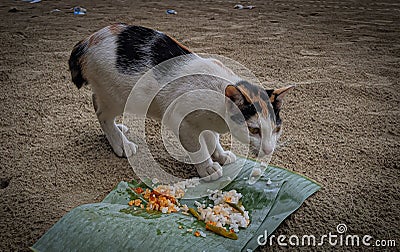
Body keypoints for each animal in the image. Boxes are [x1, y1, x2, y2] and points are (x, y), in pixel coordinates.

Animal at [69, 23, 294, 180]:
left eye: (277, 129)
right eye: (254, 130)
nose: (269, 150)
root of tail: (88, 40)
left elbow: (212, 138)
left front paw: (220, 155)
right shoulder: (181, 120)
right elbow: (199, 148)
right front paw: (208, 168)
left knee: (97, 101)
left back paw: (120, 129)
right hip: (117, 96)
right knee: (101, 113)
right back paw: (120, 143)